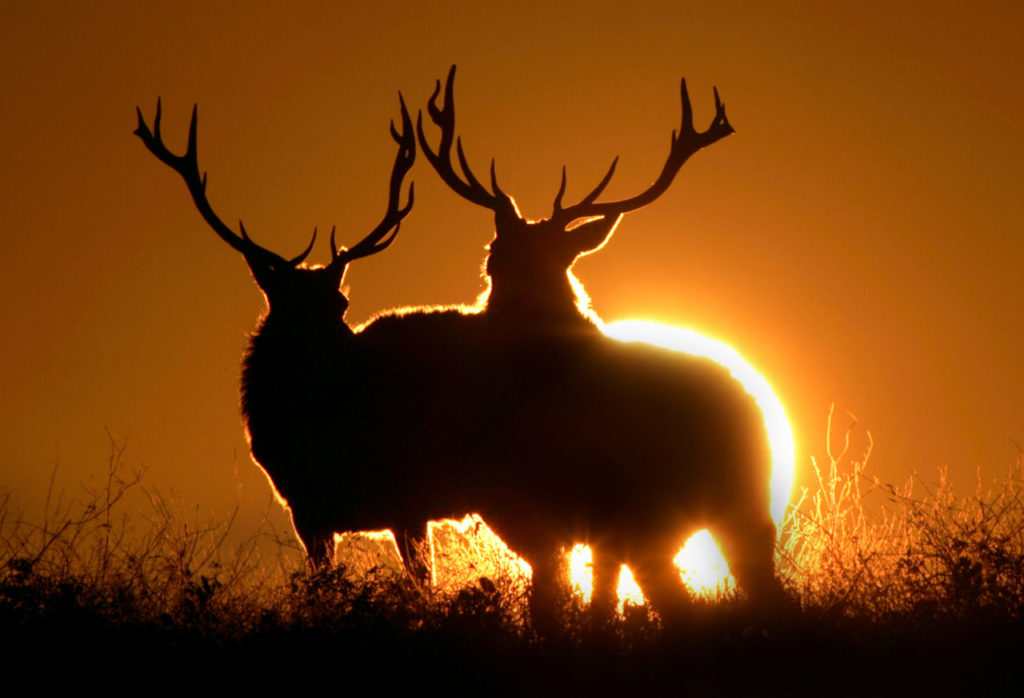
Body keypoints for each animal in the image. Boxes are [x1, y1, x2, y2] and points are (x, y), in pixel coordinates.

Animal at [356, 66, 781, 624]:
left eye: (551, 257)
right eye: (495, 250)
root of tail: (753, 403)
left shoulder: (542, 508)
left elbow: (557, 601)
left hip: (686, 506)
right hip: (716, 504)